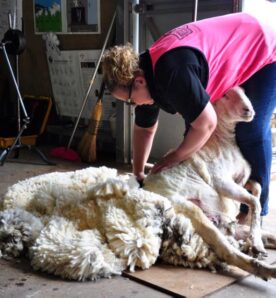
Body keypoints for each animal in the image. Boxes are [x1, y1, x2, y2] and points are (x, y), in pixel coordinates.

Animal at [0, 86, 276, 282]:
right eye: (228, 94)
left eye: (244, 91)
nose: (250, 110)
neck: (222, 141)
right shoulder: (221, 181)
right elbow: (253, 199)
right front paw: (256, 240)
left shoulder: (241, 180)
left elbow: (257, 190)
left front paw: (255, 235)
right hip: (193, 213)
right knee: (227, 250)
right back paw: (263, 265)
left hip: (219, 222)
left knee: (246, 235)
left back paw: (259, 246)